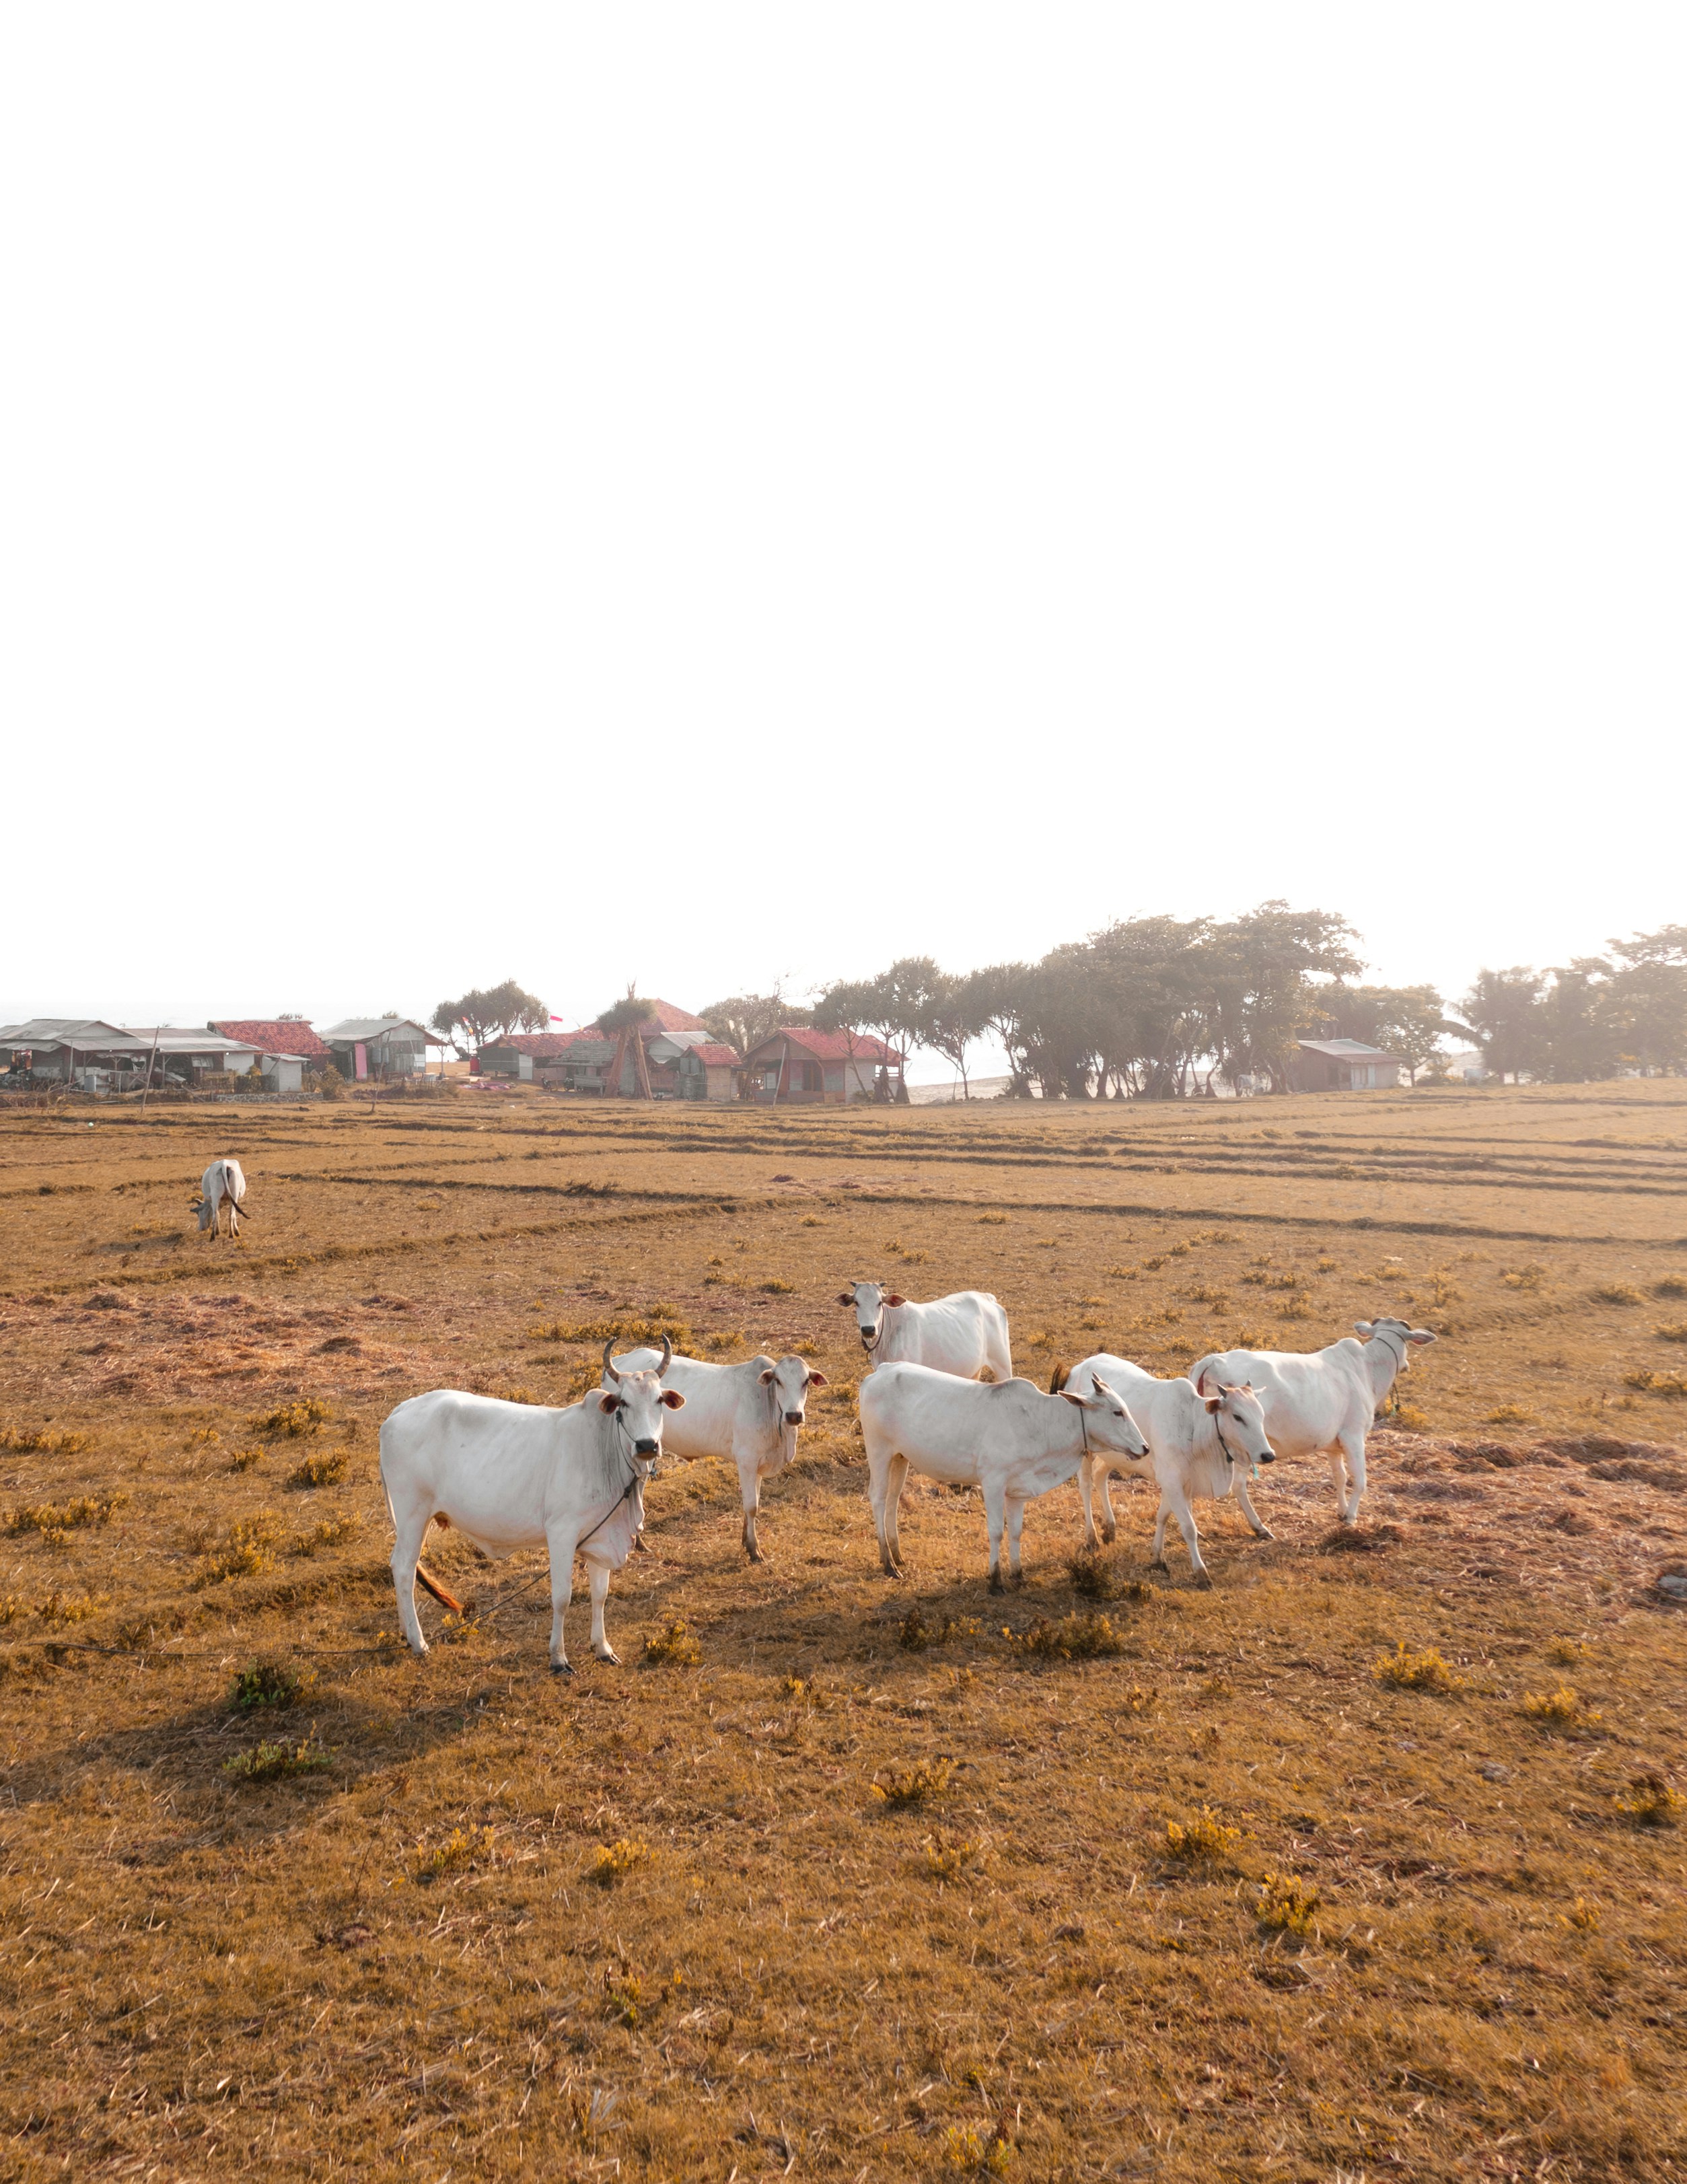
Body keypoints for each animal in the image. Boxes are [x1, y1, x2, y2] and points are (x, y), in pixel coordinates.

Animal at [378, 1336, 685, 1672]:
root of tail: (402, 1409)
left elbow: (600, 1595)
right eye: (624, 1403)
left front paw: (603, 1648)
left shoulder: (602, 1535)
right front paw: (558, 1658)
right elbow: (562, 1598)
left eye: (659, 1400)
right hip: (413, 1515)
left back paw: (408, 1635)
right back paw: (419, 1642)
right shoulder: (562, 1534)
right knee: (404, 1568)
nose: (646, 1445)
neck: (604, 1451)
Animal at [610, 1346, 827, 1563]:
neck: (769, 1404)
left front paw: (746, 1541)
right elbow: (752, 1506)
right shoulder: (747, 1460)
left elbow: (754, 1501)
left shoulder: (756, 1464)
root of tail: (623, 1359)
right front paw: (754, 1550)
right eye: (779, 1381)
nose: (794, 1415)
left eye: (806, 1381)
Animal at [857, 1362, 1148, 1591]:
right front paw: (995, 1580)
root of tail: (882, 1371)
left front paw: (1018, 1574)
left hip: (900, 1458)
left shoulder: (1017, 1491)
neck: (1040, 1422)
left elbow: (1017, 1532)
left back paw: (898, 1555)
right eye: (1117, 1412)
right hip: (879, 1451)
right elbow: (997, 1532)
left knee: (894, 1500)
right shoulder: (993, 1483)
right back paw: (888, 1563)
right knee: (879, 1499)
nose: (1145, 1448)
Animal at [1052, 1355, 1275, 1587]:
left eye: (1260, 1415)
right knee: (1086, 1486)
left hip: (1116, 1455)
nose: (1268, 1455)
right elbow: (1188, 1528)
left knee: (1100, 1476)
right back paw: (1091, 1537)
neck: (1193, 1424)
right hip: (1086, 1452)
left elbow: (1163, 1516)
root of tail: (1078, 1368)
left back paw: (1110, 1528)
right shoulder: (1172, 1480)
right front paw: (1201, 1572)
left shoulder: (1178, 1482)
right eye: (1238, 1417)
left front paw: (1157, 1557)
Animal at [1187, 1317, 1437, 1527]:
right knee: (1238, 1486)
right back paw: (1259, 1527)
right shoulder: (1354, 1436)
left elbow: (1340, 1477)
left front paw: (1342, 1511)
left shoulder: (1334, 1446)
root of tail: (1213, 1360)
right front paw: (1351, 1517)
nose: (1406, 1366)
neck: (1367, 1369)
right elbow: (1360, 1480)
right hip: (1242, 1446)